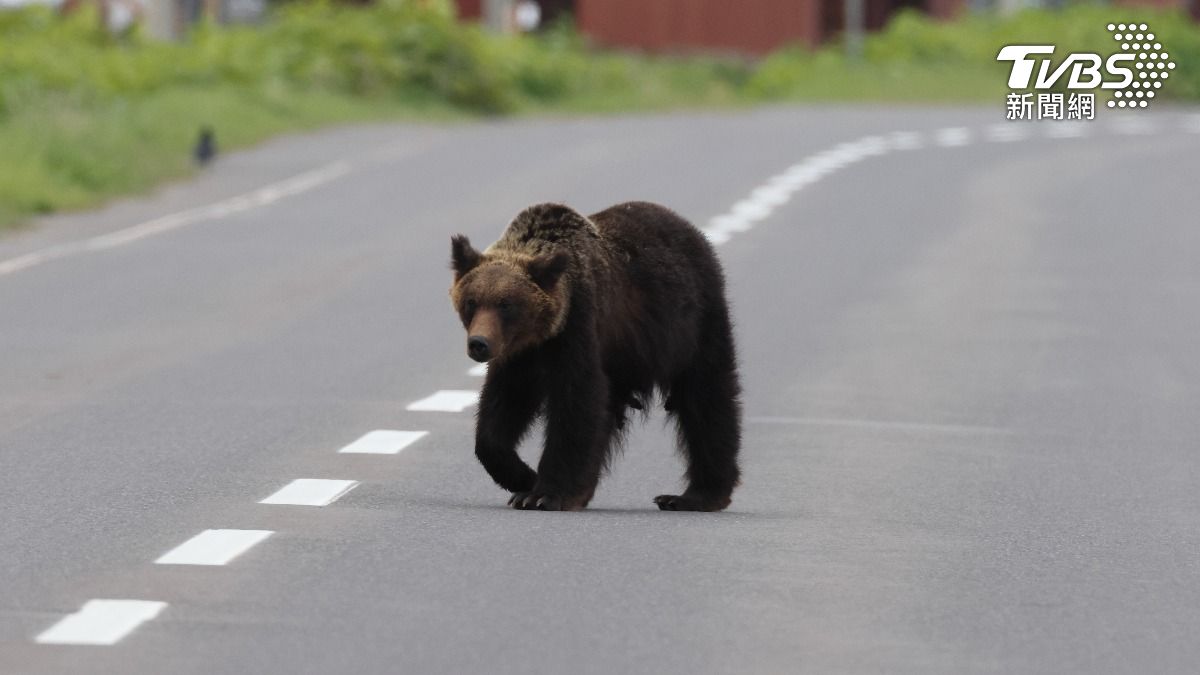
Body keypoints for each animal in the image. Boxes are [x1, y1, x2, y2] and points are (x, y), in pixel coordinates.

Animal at [448, 202, 741, 511]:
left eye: (507, 305)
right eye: (471, 302)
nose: (479, 344)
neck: (542, 335)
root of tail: (688, 227)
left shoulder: (579, 328)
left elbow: (576, 402)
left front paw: (543, 493)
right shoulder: (519, 356)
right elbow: (502, 408)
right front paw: (522, 478)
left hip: (693, 325)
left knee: (707, 399)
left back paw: (694, 495)